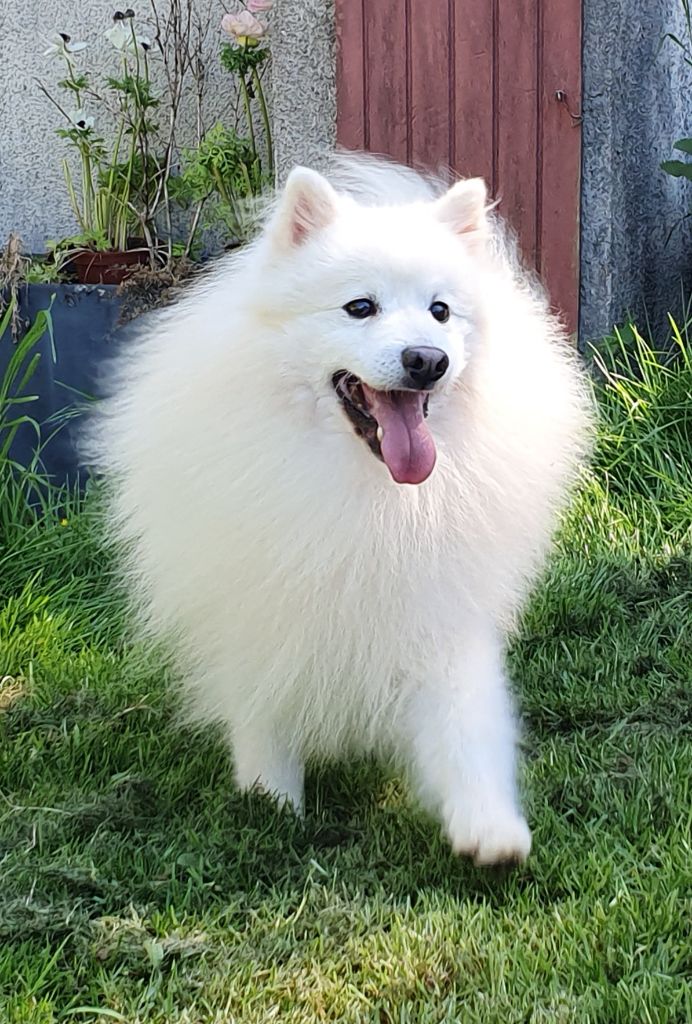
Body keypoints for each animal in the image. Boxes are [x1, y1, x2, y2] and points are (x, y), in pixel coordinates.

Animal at [88, 154, 592, 865]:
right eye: (360, 307)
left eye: (441, 311)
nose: (427, 359)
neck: (368, 494)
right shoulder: (262, 612)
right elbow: (266, 709)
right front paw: (272, 803)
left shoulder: (437, 610)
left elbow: (464, 721)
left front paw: (488, 824)